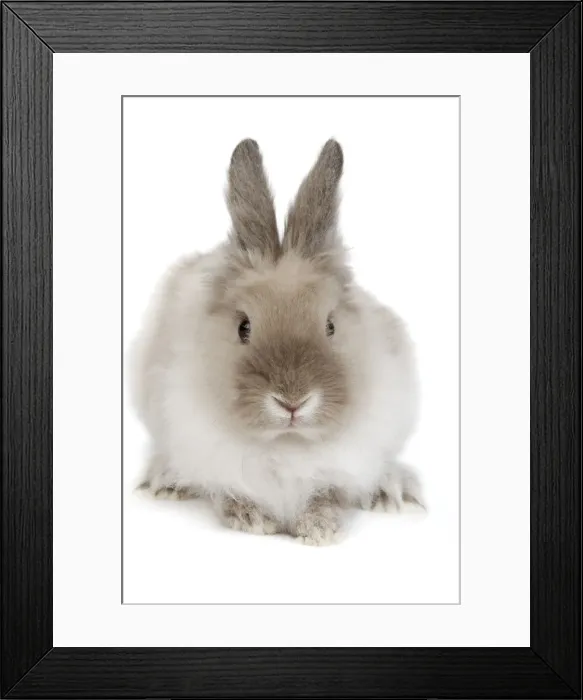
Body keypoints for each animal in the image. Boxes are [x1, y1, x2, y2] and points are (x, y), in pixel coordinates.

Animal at [129, 138, 424, 545]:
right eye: (243, 327)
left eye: (330, 325)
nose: (292, 402)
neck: (286, 443)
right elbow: (229, 490)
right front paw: (252, 519)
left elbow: (326, 492)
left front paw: (320, 528)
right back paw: (166, 482)